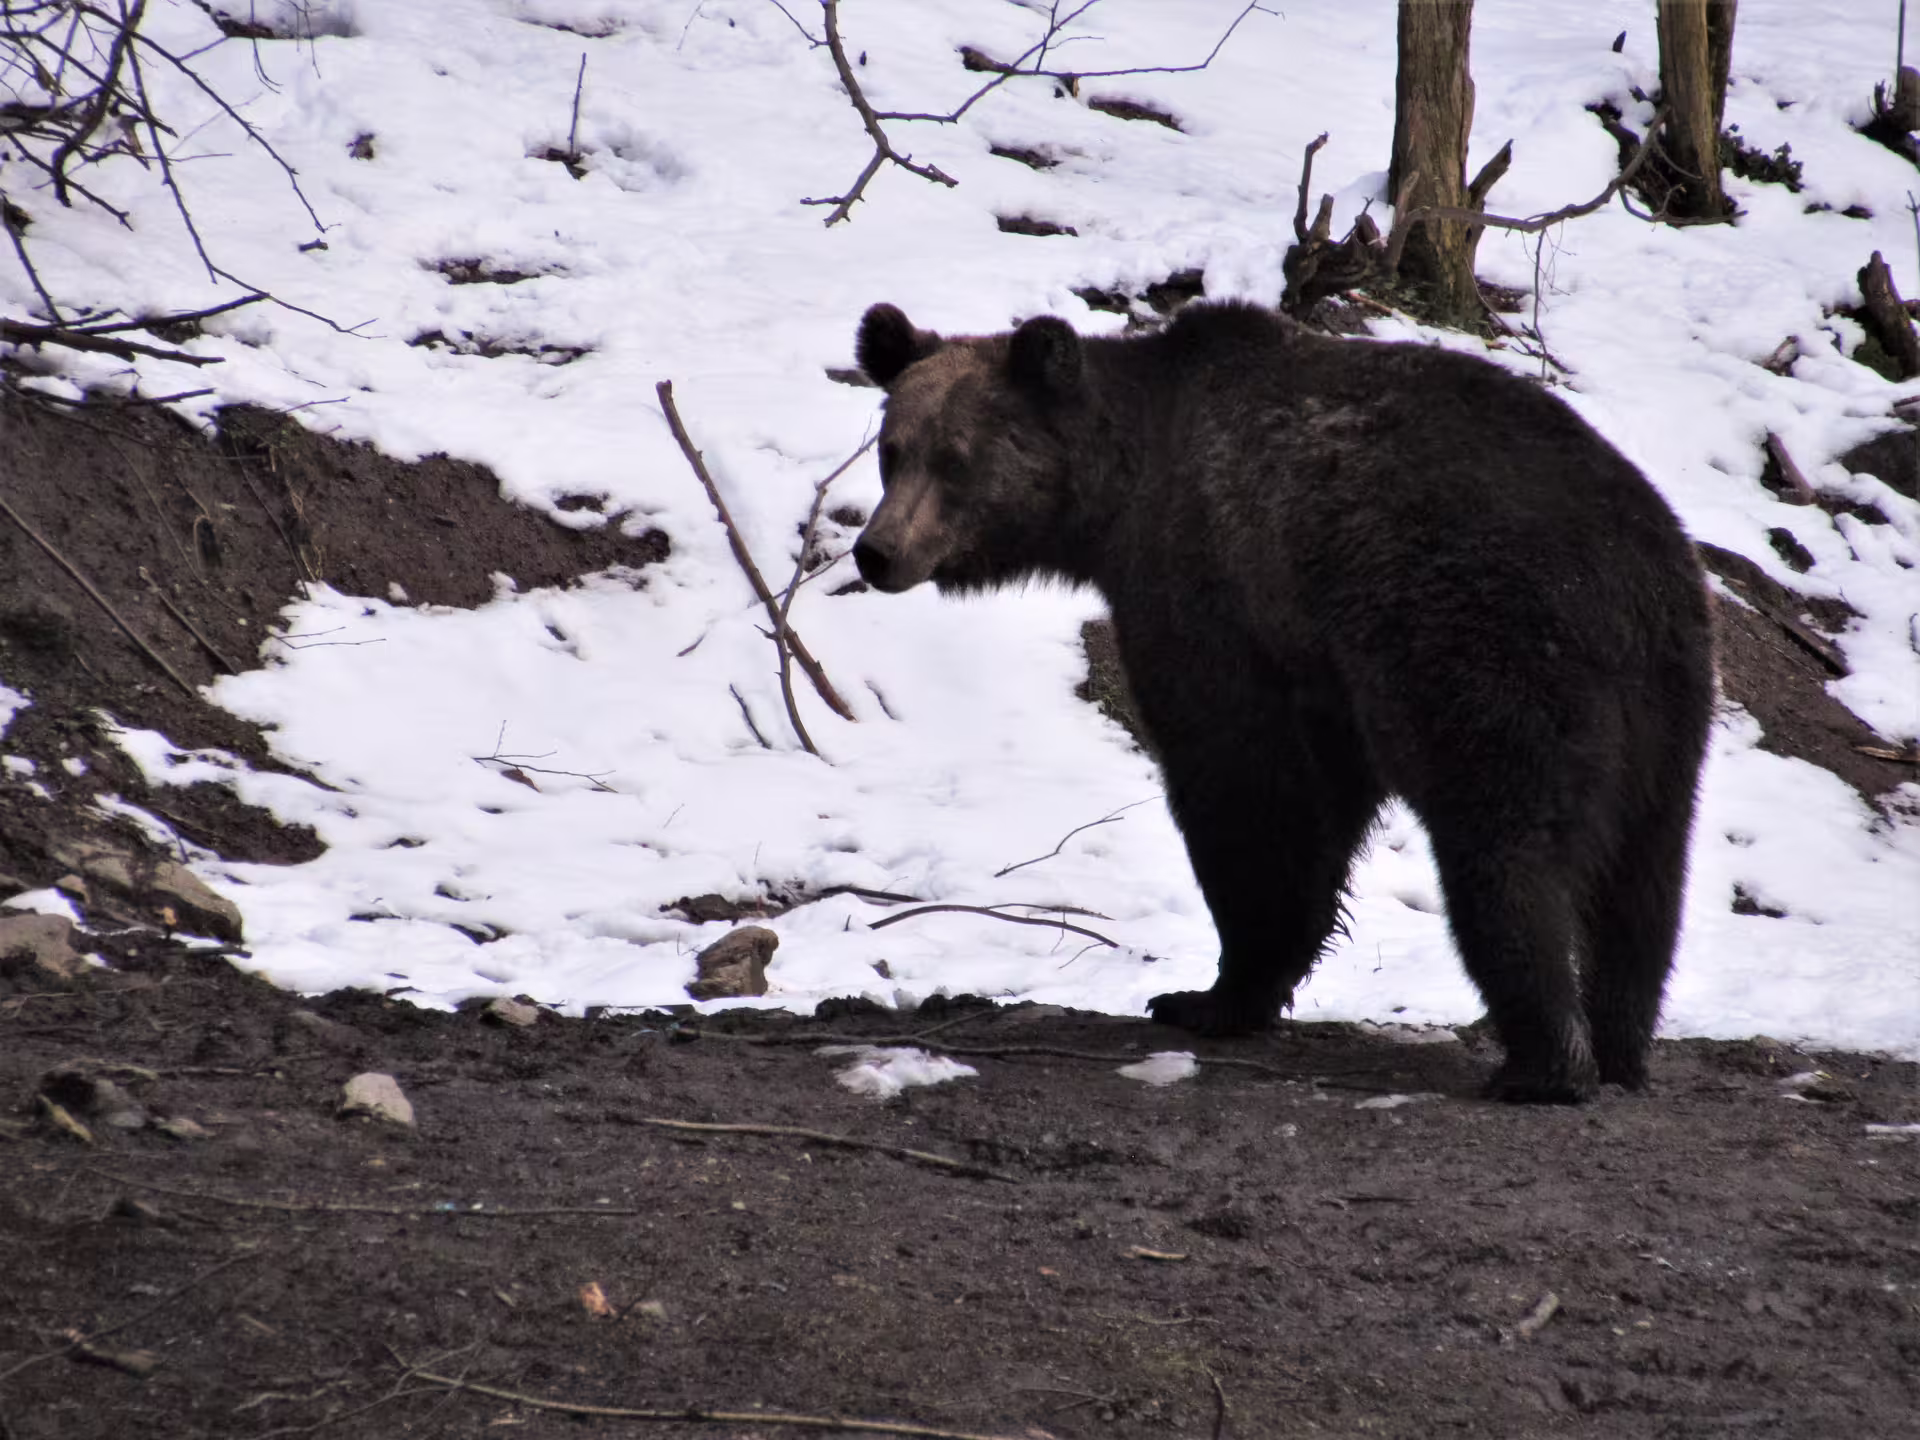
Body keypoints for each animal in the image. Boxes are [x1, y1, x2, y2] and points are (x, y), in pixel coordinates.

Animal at [851, 299, 1714, 1103]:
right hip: (1666, 709)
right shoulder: (1319, 668)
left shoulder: (1215, 596)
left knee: (1506, 850)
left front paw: (1207, 995)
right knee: (1645, 881)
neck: (1118, 497)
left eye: (955, 458)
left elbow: (1246, 792)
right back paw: (1621, 1045)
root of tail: (1626, 579)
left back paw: (1544, 1061)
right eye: (892, 451)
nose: (877, 551)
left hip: (1492, 657)